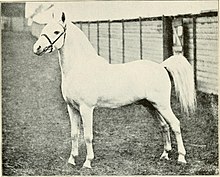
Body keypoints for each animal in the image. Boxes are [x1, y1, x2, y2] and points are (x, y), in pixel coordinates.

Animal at [33, 12, 196, 169]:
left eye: (56, 31)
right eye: (45, 28)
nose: (37, 48)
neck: (80, 68)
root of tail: (161, 66)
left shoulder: (86, 108)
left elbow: (87, 135)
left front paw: (87, 162)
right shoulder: (72, 108)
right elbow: (74, 134)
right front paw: (71, 160)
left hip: (162, 105)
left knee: (175, 125)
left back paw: (181, 158)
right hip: (151, 105)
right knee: (164, 126)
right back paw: (165, 154)